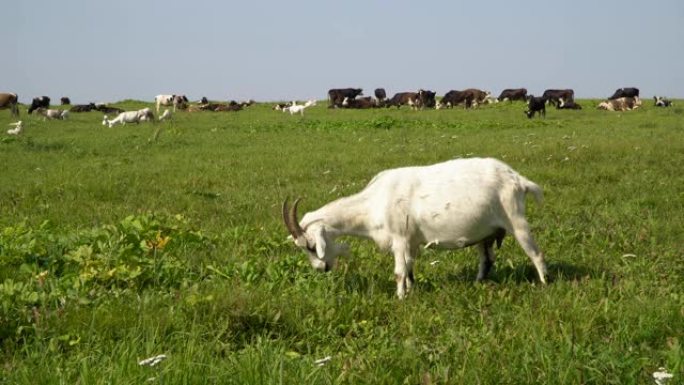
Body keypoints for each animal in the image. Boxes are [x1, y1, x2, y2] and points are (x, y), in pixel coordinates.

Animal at [284, 156, 552, 296]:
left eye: (310, 246)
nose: (321, 268)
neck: (375, 201)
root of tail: (518, 179)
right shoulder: (411, 241)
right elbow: (410, 267)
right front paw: (411, 290)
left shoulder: (400, 238)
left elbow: (399, 271)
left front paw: (400, 297)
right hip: (486, 232)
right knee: (486, 259)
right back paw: (478, 283)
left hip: (516, 219)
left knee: (535, 253)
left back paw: (544, 283)